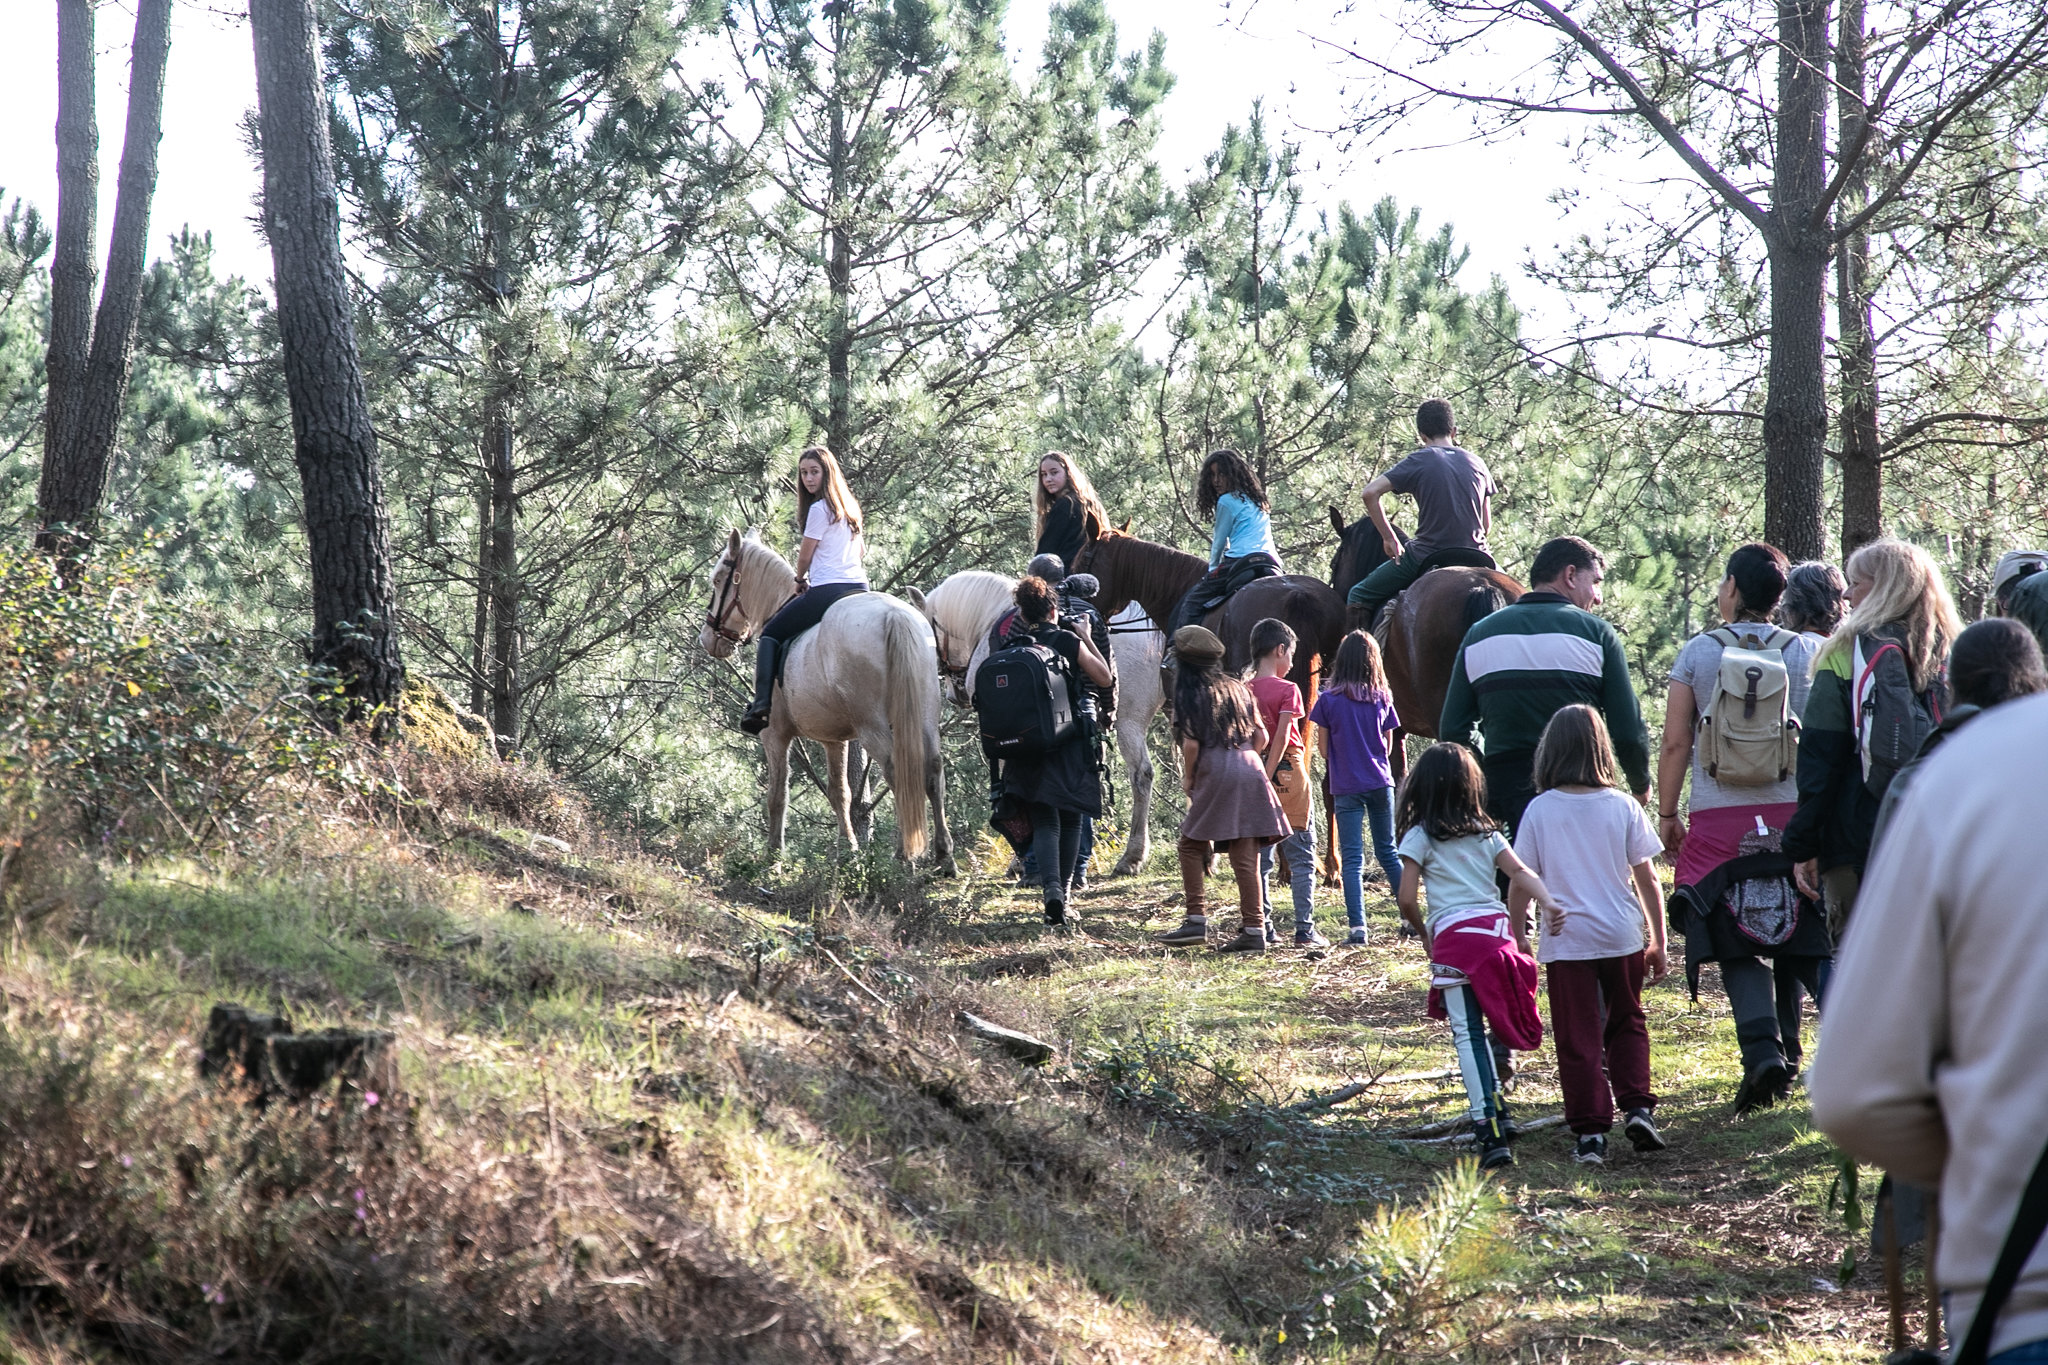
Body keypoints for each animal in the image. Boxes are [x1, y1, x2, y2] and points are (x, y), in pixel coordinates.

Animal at [700, 527, 954, 871]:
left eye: (717, 581)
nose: (708, 640)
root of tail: (894, 616)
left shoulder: (775, 734)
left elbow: (777, 795)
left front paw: (773, 857)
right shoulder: (835, 739)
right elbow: (840, 793)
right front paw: (847, 851)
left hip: (872, 726)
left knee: (897, 771)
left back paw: (904, 855)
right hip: (925, 716)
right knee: (933, 770)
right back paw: (944, 855)